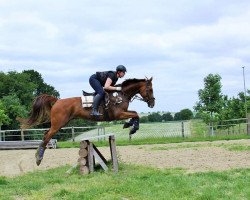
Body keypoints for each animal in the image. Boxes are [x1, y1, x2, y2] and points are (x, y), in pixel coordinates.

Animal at [20, 76, 154, 166]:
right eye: (150, 90)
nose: (152, 103)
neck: (121, 94)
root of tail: (57, 101)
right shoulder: (118, 114)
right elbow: (136, 114)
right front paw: (132, 128)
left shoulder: (123, 112)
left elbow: (135, 114)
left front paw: (129, 125)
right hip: (58, 124)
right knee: (47, 136)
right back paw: (38, 158)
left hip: (59, 123)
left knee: (45, 134)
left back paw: (38, 155)